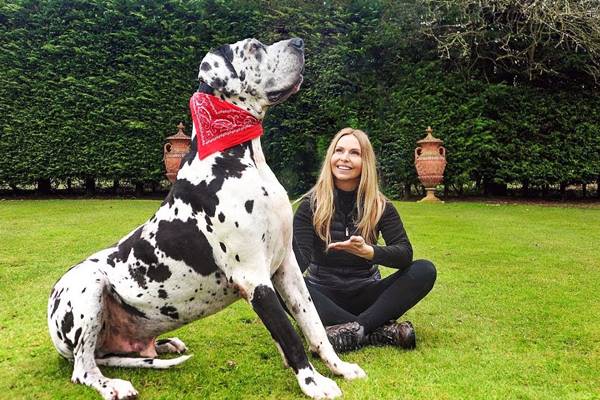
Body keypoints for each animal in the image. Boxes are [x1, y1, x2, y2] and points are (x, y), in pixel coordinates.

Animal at [47, 38, 366, 400]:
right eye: (254, 48)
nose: (299, 42)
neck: (238, 156)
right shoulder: (253, 276)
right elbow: (289, 334)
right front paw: (314, 383)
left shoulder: (287, 268)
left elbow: (313, 324)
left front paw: (339, 368)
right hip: (88, 285)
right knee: (83, 369)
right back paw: (111, 384)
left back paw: (166, 344)